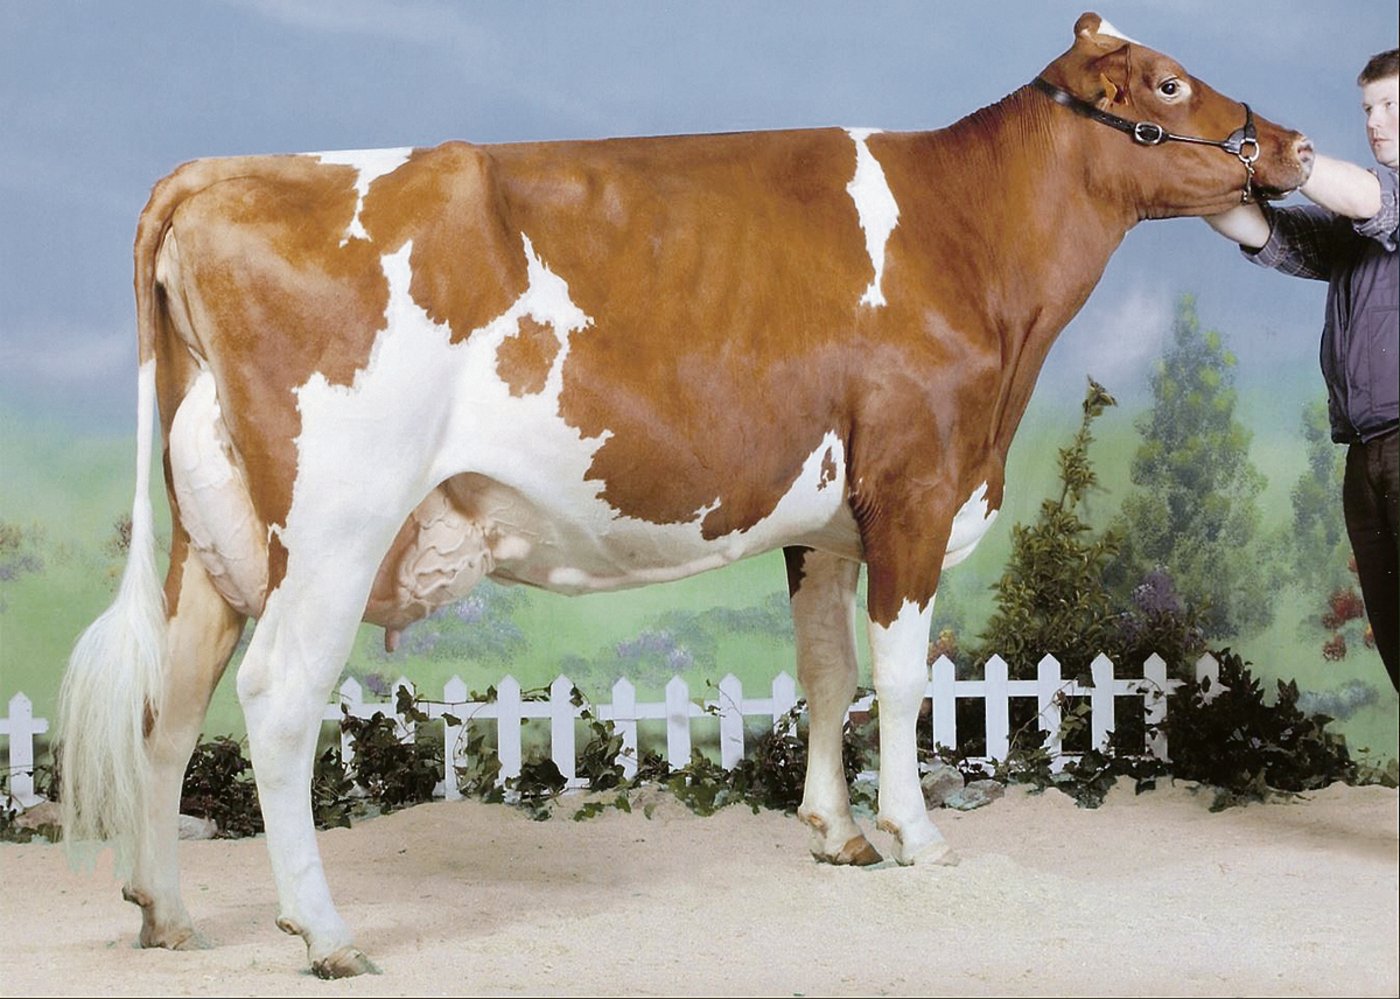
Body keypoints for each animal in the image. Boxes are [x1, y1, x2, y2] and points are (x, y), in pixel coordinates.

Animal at [57, 12, 1312, 978]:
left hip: (211, 535)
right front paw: (913, 835)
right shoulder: (913, 487)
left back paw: (166, 916)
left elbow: (826, 672)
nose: (1295, 143)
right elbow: (902, 680)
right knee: (273, 700)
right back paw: (322, 934)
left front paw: (833, 834)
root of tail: (214, 173)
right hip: (334, 522)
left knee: (168, 705)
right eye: (1166, 81)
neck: (972, 250)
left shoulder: (828, 518)